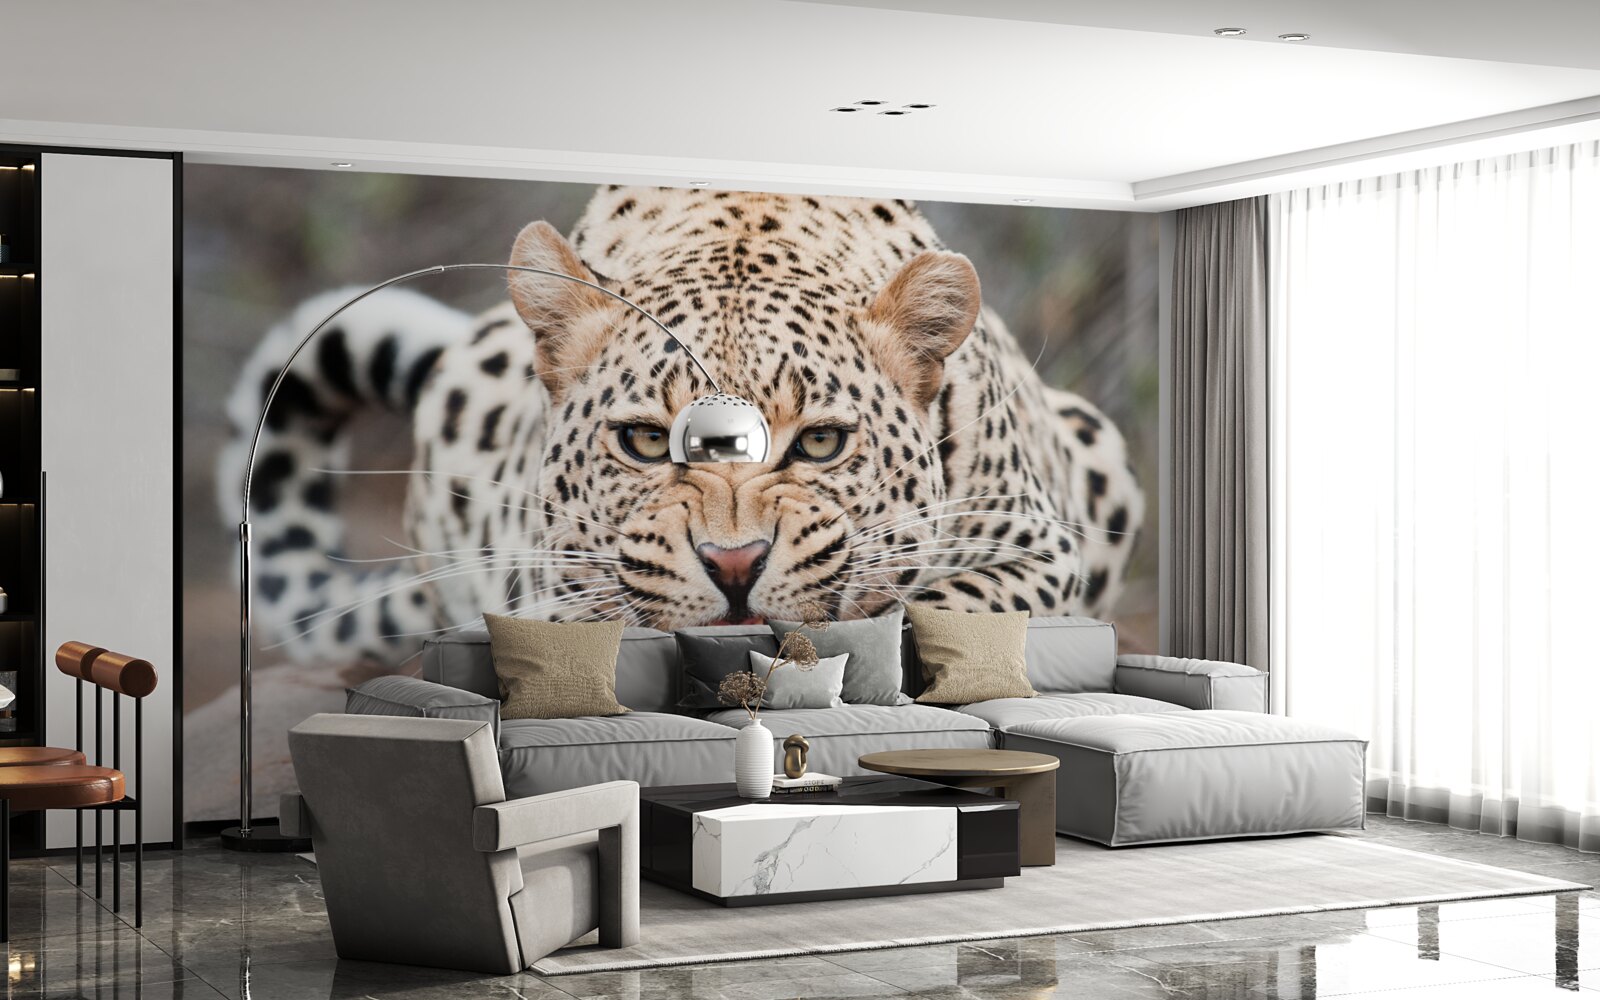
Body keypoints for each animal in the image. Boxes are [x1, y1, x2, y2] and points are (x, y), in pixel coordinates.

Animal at [219, 185, 1144, 668]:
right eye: (640, 441)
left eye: (820, 443)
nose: (735, 565)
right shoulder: (549, 595)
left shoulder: (1042, 548)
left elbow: (932, 612)